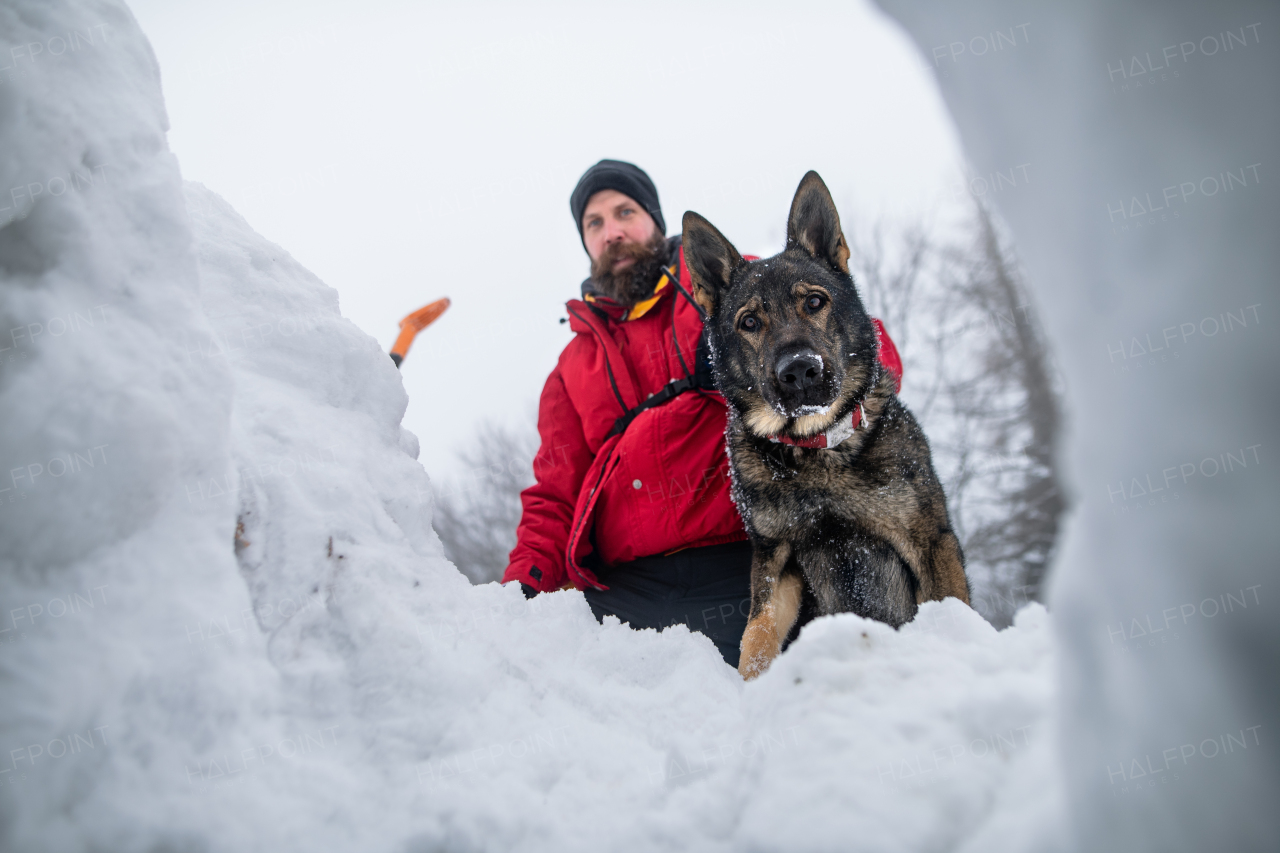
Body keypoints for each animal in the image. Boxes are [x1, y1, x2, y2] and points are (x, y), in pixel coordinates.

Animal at [686, 171, 962, 676]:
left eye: (815, 301)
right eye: (749, 322)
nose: (799, 371)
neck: (816, 448)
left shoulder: (931, 541)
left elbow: (954, 610)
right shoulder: (776, 560)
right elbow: (756, 636)